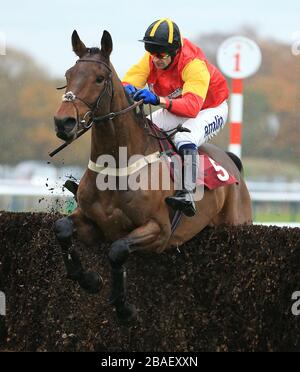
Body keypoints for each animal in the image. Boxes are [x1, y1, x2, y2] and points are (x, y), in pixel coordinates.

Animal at [54, 29, 253, 322]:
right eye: (68, 74)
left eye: (99, 78)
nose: (63, 122)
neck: (118, 165)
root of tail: (231, 162)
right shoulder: (94, 225)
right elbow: (62, 228)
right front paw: (89, 279)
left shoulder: (158, 230)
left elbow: (118, 250)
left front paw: (124, 308)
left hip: (237, 225)